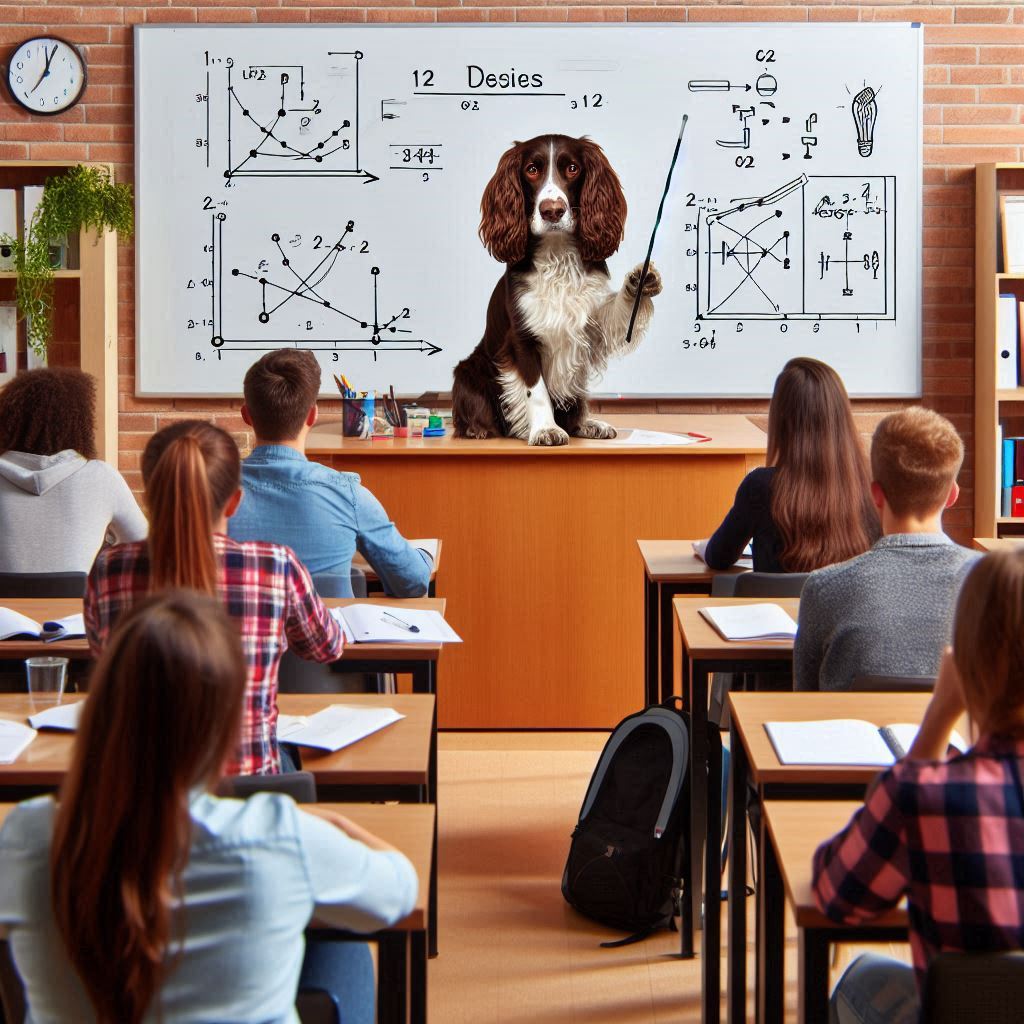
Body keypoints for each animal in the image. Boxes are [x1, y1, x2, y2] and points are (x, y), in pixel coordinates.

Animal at [452, 133, 659, 444]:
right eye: (531, 169)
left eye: (572, 168)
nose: (552, 211)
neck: (557, 254)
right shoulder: (521, 337)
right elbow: (536, 390)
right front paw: (546, 429)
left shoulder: (591, 324)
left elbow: (616, 315)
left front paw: (639, 281)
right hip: (467, 370)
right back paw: (479, 429)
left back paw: (586, 424)